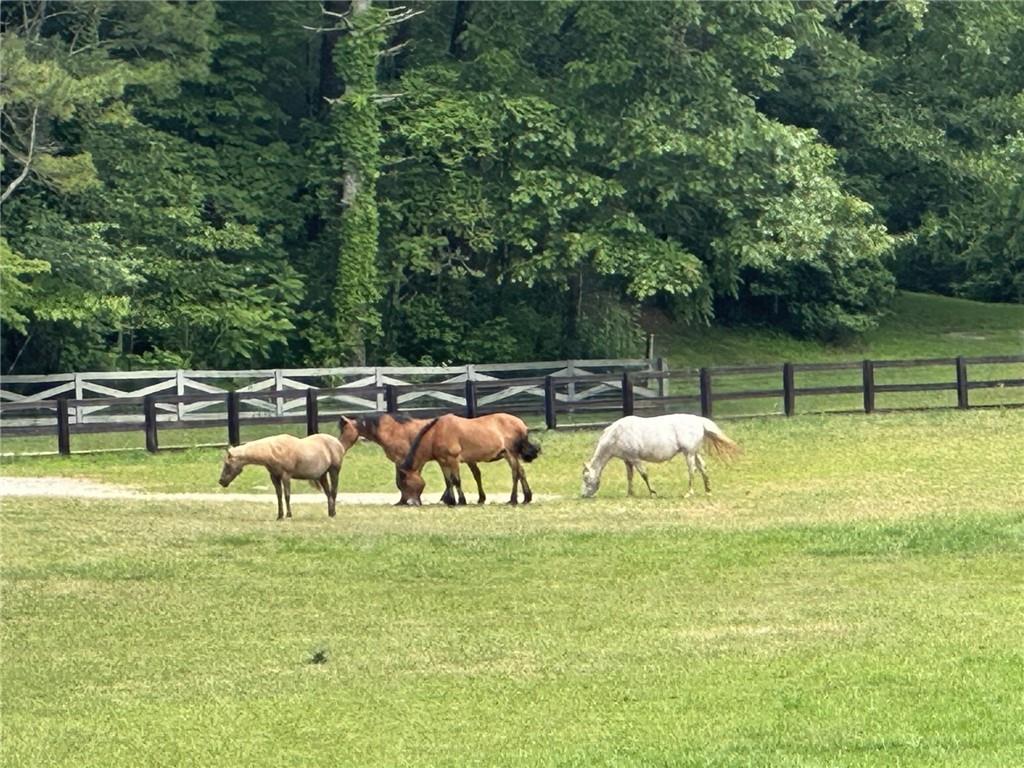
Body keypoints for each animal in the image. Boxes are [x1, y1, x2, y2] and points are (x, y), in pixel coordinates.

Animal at [218, 423, 358, 520]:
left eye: (227, 464)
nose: (221, 481)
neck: (274, 450)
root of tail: (338, 443)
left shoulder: (286, 476)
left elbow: (287, 495)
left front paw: (289, 515)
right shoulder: (274, 477)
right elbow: (279, 496)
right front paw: (279, 516)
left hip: (334, 471)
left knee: (333, 492)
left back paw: (333, 513)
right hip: (322, 475)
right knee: (328, 493)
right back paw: (330, 513)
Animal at [337, 415, 485, 505]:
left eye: (344, 430)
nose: (340, 446)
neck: (392, 431)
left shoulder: (403, 460)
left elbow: (402, 481)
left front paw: (408, 500)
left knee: (475, 475)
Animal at [399, 415, 544, 505]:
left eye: (405, 483)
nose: (410, 502)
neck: (436, 433)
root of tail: (521, 424)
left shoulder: (453, 460)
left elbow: (456, 481)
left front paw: (461, 501)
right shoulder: (443, 462)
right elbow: (448, 481)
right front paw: (451, 500)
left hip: (511, 454)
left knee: (515, 474)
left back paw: (513, 499)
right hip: (509, 455)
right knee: (521, 472)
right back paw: (526, 497)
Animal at [581, 415, 741, 499]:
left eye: (586, 478)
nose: (583, 495)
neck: (616, 434)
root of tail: (699, 421)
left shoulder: (635, 459)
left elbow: (644, 475)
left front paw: (653, 492)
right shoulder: (628, 460)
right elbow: (630, 477)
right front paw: (630, 493)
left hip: (688, 453)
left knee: (692, 470)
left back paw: (689, 492)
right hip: (695, 453)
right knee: (703, 468)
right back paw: (708, 490)